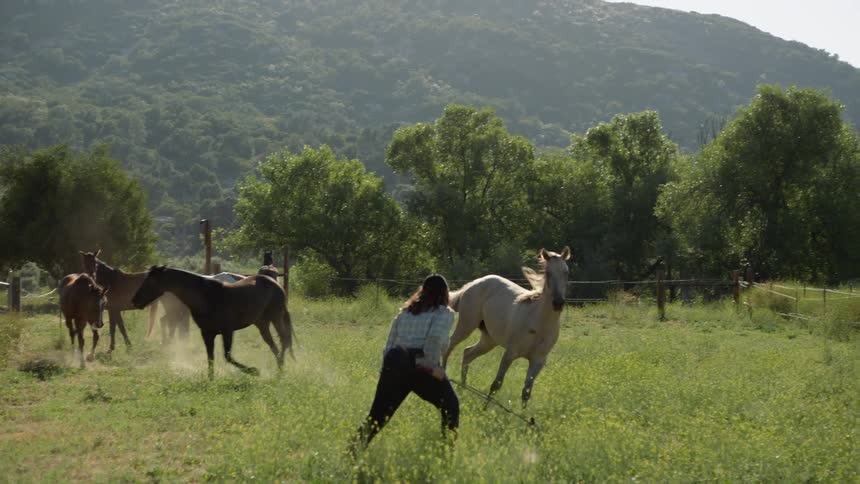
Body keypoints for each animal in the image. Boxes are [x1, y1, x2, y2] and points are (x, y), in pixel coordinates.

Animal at [132, 266, 294, 378]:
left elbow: (227, 356)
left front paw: (253, 371)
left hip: (275, 317)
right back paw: (279, 367)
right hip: (262, 323)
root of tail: (275, 283)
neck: (207, 296)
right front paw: (211, 380)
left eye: (150, 281)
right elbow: (210, 358)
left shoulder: (227, 331)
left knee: (284, 339)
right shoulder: (207, 333)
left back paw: (280, 371)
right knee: (273, 344)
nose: (135, 300)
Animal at [443, 247, 571, 408]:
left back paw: (463, 388)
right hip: (466, 325)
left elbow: (526, 392)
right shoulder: (510, 353)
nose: (558, 303)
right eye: (548, 273)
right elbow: (496, 383)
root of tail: (474, 283)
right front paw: (485, 409)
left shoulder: (538, 361)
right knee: (449, 346)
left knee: (467, 353)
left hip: (489, 340)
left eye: (566, 272)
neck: (539, 324)